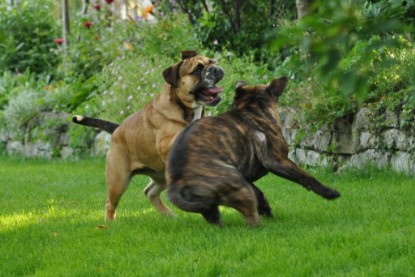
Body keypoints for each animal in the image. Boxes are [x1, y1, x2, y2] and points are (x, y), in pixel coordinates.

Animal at [74, 50, 224, 220]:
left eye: (212, 62)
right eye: (198, 70)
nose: (215, 69)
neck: (186, 108)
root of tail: (117, 130)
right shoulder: (164, 142)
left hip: (161, 175)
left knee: (150, 192)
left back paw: (170, 215)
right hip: (118, 180)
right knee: (110, 203)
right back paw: (110, 222)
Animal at [167, 75, 342, 224]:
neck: (252, 108)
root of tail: (177, 181)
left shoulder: (247, 176)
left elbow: (259, 192)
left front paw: (266, 209)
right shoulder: (277, 160)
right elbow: (305, 176)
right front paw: (329, 192)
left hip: (215, 200)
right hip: (237, 183)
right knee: (251, 218)